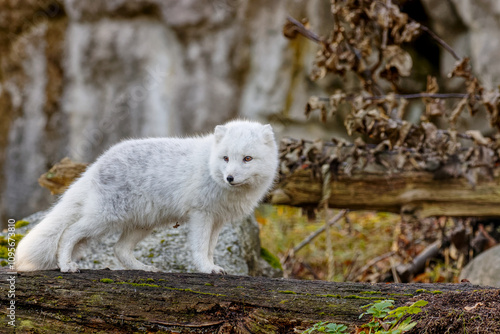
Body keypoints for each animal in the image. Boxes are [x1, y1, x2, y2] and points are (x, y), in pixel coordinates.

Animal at [15, 120, 280, 274]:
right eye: (226, 158)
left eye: (247, 159)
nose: (230, 178)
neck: (209, 165)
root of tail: (97, 162)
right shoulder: (201, 214)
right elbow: (200, 247)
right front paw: (206, 268)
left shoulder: (218, 220)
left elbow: (210, 248)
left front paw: (212, 265)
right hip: (105, 219)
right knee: (69, 233)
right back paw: (66, 265)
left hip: (142, 223)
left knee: (119, 250)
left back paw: (144, 268)